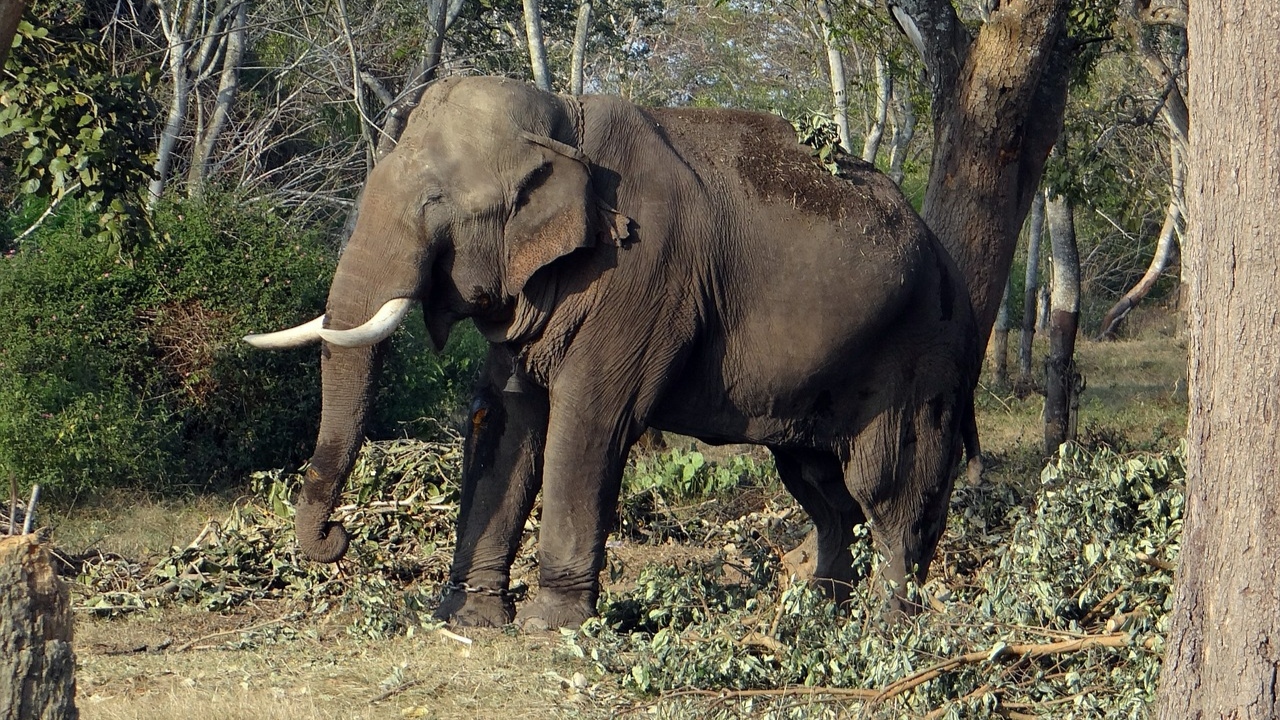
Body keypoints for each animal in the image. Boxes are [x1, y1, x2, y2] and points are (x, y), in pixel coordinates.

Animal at [246, 75, 981, 630]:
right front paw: (467, 620)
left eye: (435, 201)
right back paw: (818, 617)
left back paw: (887, 627)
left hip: (921, 354)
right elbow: (508, 420)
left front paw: (548, 626)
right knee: (822, 488)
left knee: (889, 487)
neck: (564, 120)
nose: (336, 539)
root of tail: (951, 264)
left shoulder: (643, 275)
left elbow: (589, 421)